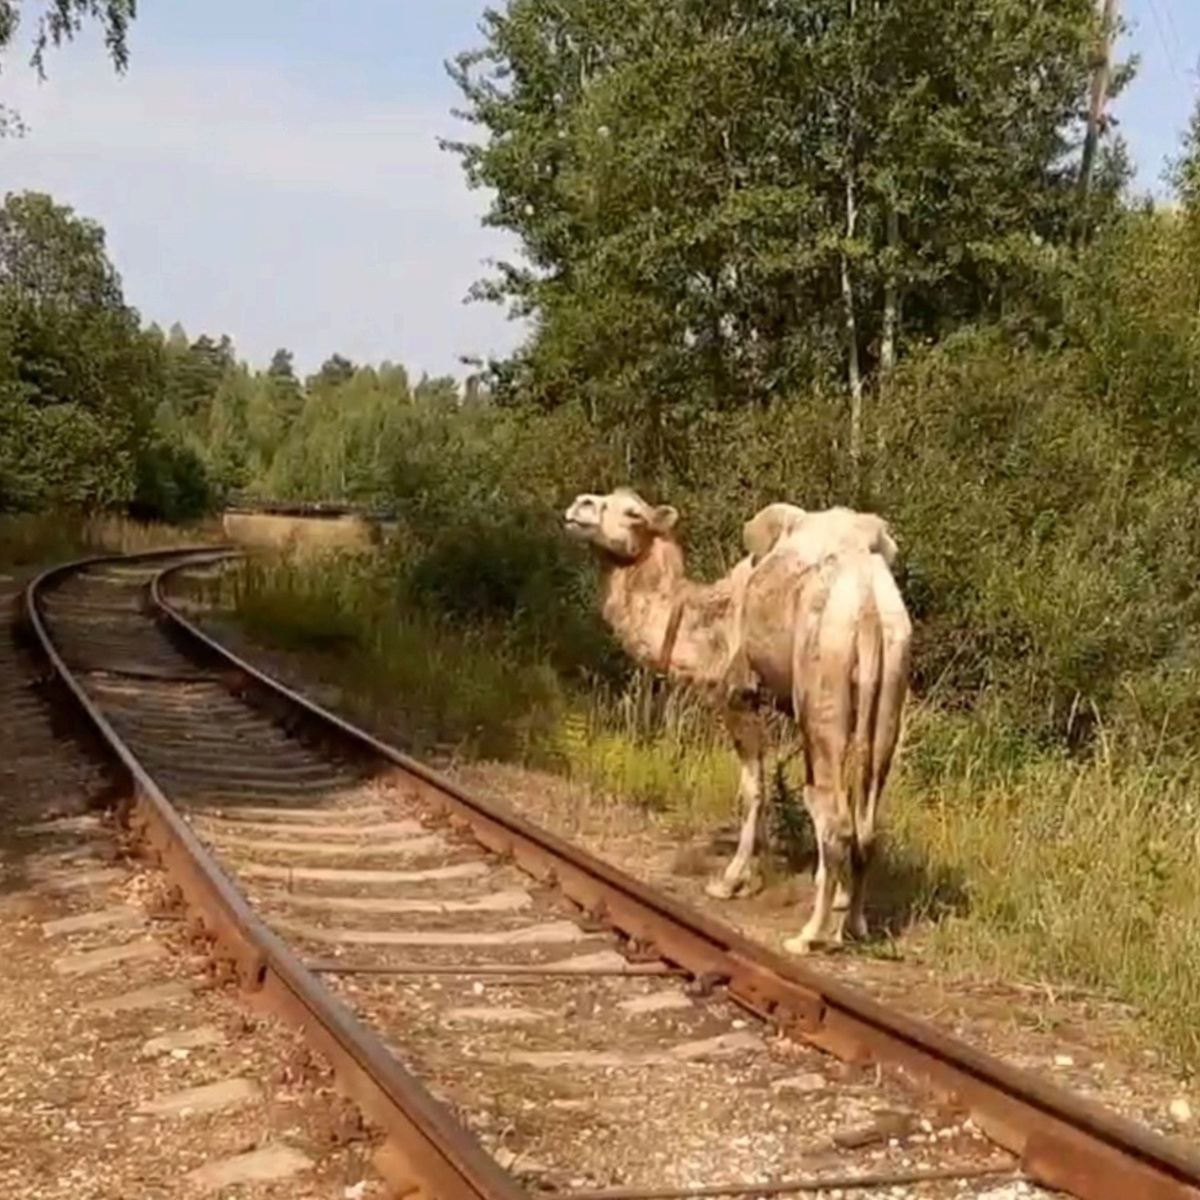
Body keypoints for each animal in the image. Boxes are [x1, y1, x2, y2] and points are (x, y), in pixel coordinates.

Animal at [561, 487, 907, 955]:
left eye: (633, 512)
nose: (580, 505)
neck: (706, 620)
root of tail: (869, 603)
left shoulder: (737, 696)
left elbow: (753, 789)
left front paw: (728, 882)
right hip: (892, 679)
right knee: (866, 820)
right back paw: (852, 925)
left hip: (822, 689)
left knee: (835, 818)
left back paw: (807, 936)